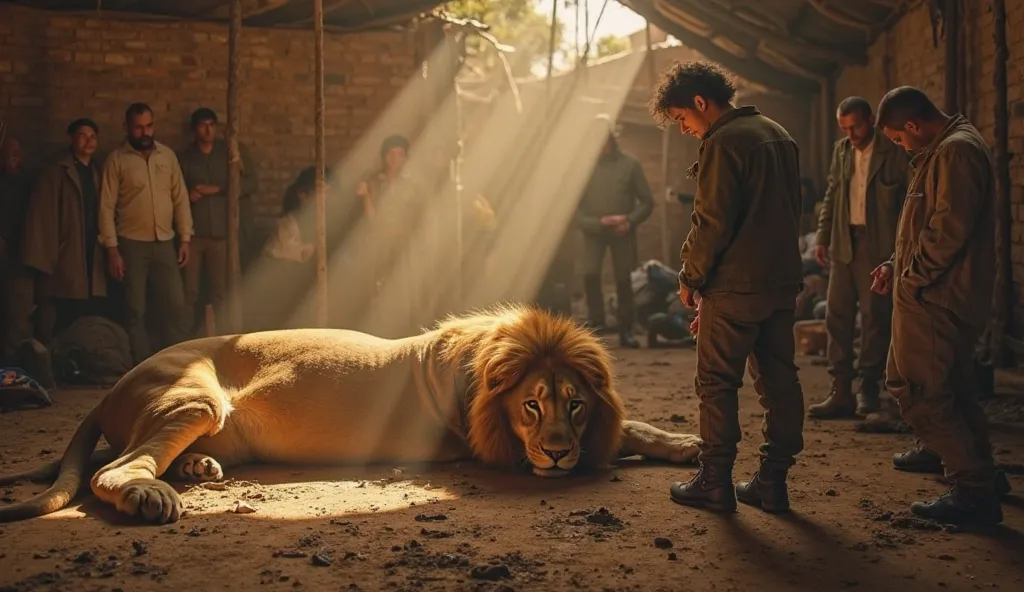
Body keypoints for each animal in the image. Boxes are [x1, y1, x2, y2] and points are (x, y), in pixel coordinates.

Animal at [0, 303, 700, 520]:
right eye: (531, 406)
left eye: (576, 406)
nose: (557, 451)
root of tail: (106, 390)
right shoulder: (489, 446)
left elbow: (632, 425)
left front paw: (686, 445)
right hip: (195, 396)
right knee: (112, 469)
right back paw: (151, 495)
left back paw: (198, 469)